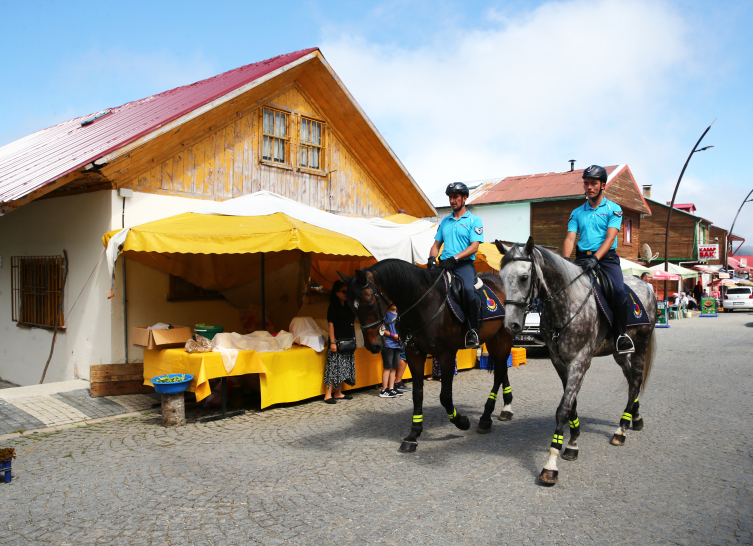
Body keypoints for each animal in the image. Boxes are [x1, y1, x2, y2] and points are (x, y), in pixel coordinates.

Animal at [338, 258, 516, 450]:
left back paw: (486, 418)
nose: (373, 346)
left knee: (499, 372)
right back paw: (506, 407)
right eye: (351, 307)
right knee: (502, 368)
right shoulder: (414, 354)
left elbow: (445, 397)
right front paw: (413, 434)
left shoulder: (446, 356)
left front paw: (462, 422)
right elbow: (417, 394)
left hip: (505, 337)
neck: (424, 305)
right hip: (493, 339)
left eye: (369, 303)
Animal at [494, 236, 652, 482]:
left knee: (635, 380)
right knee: (630, 379)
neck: (566, 305)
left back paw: (621, 429)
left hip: (641, 345)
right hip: (619, 353)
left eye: (524, 277)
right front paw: (572, 443)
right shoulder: (560, 362)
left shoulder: (580, 361)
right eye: (501, 277)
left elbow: (563, 408)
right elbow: (572, 403)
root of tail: (645, 286)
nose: (511, 325)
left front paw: (551, 463)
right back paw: (635, 418)